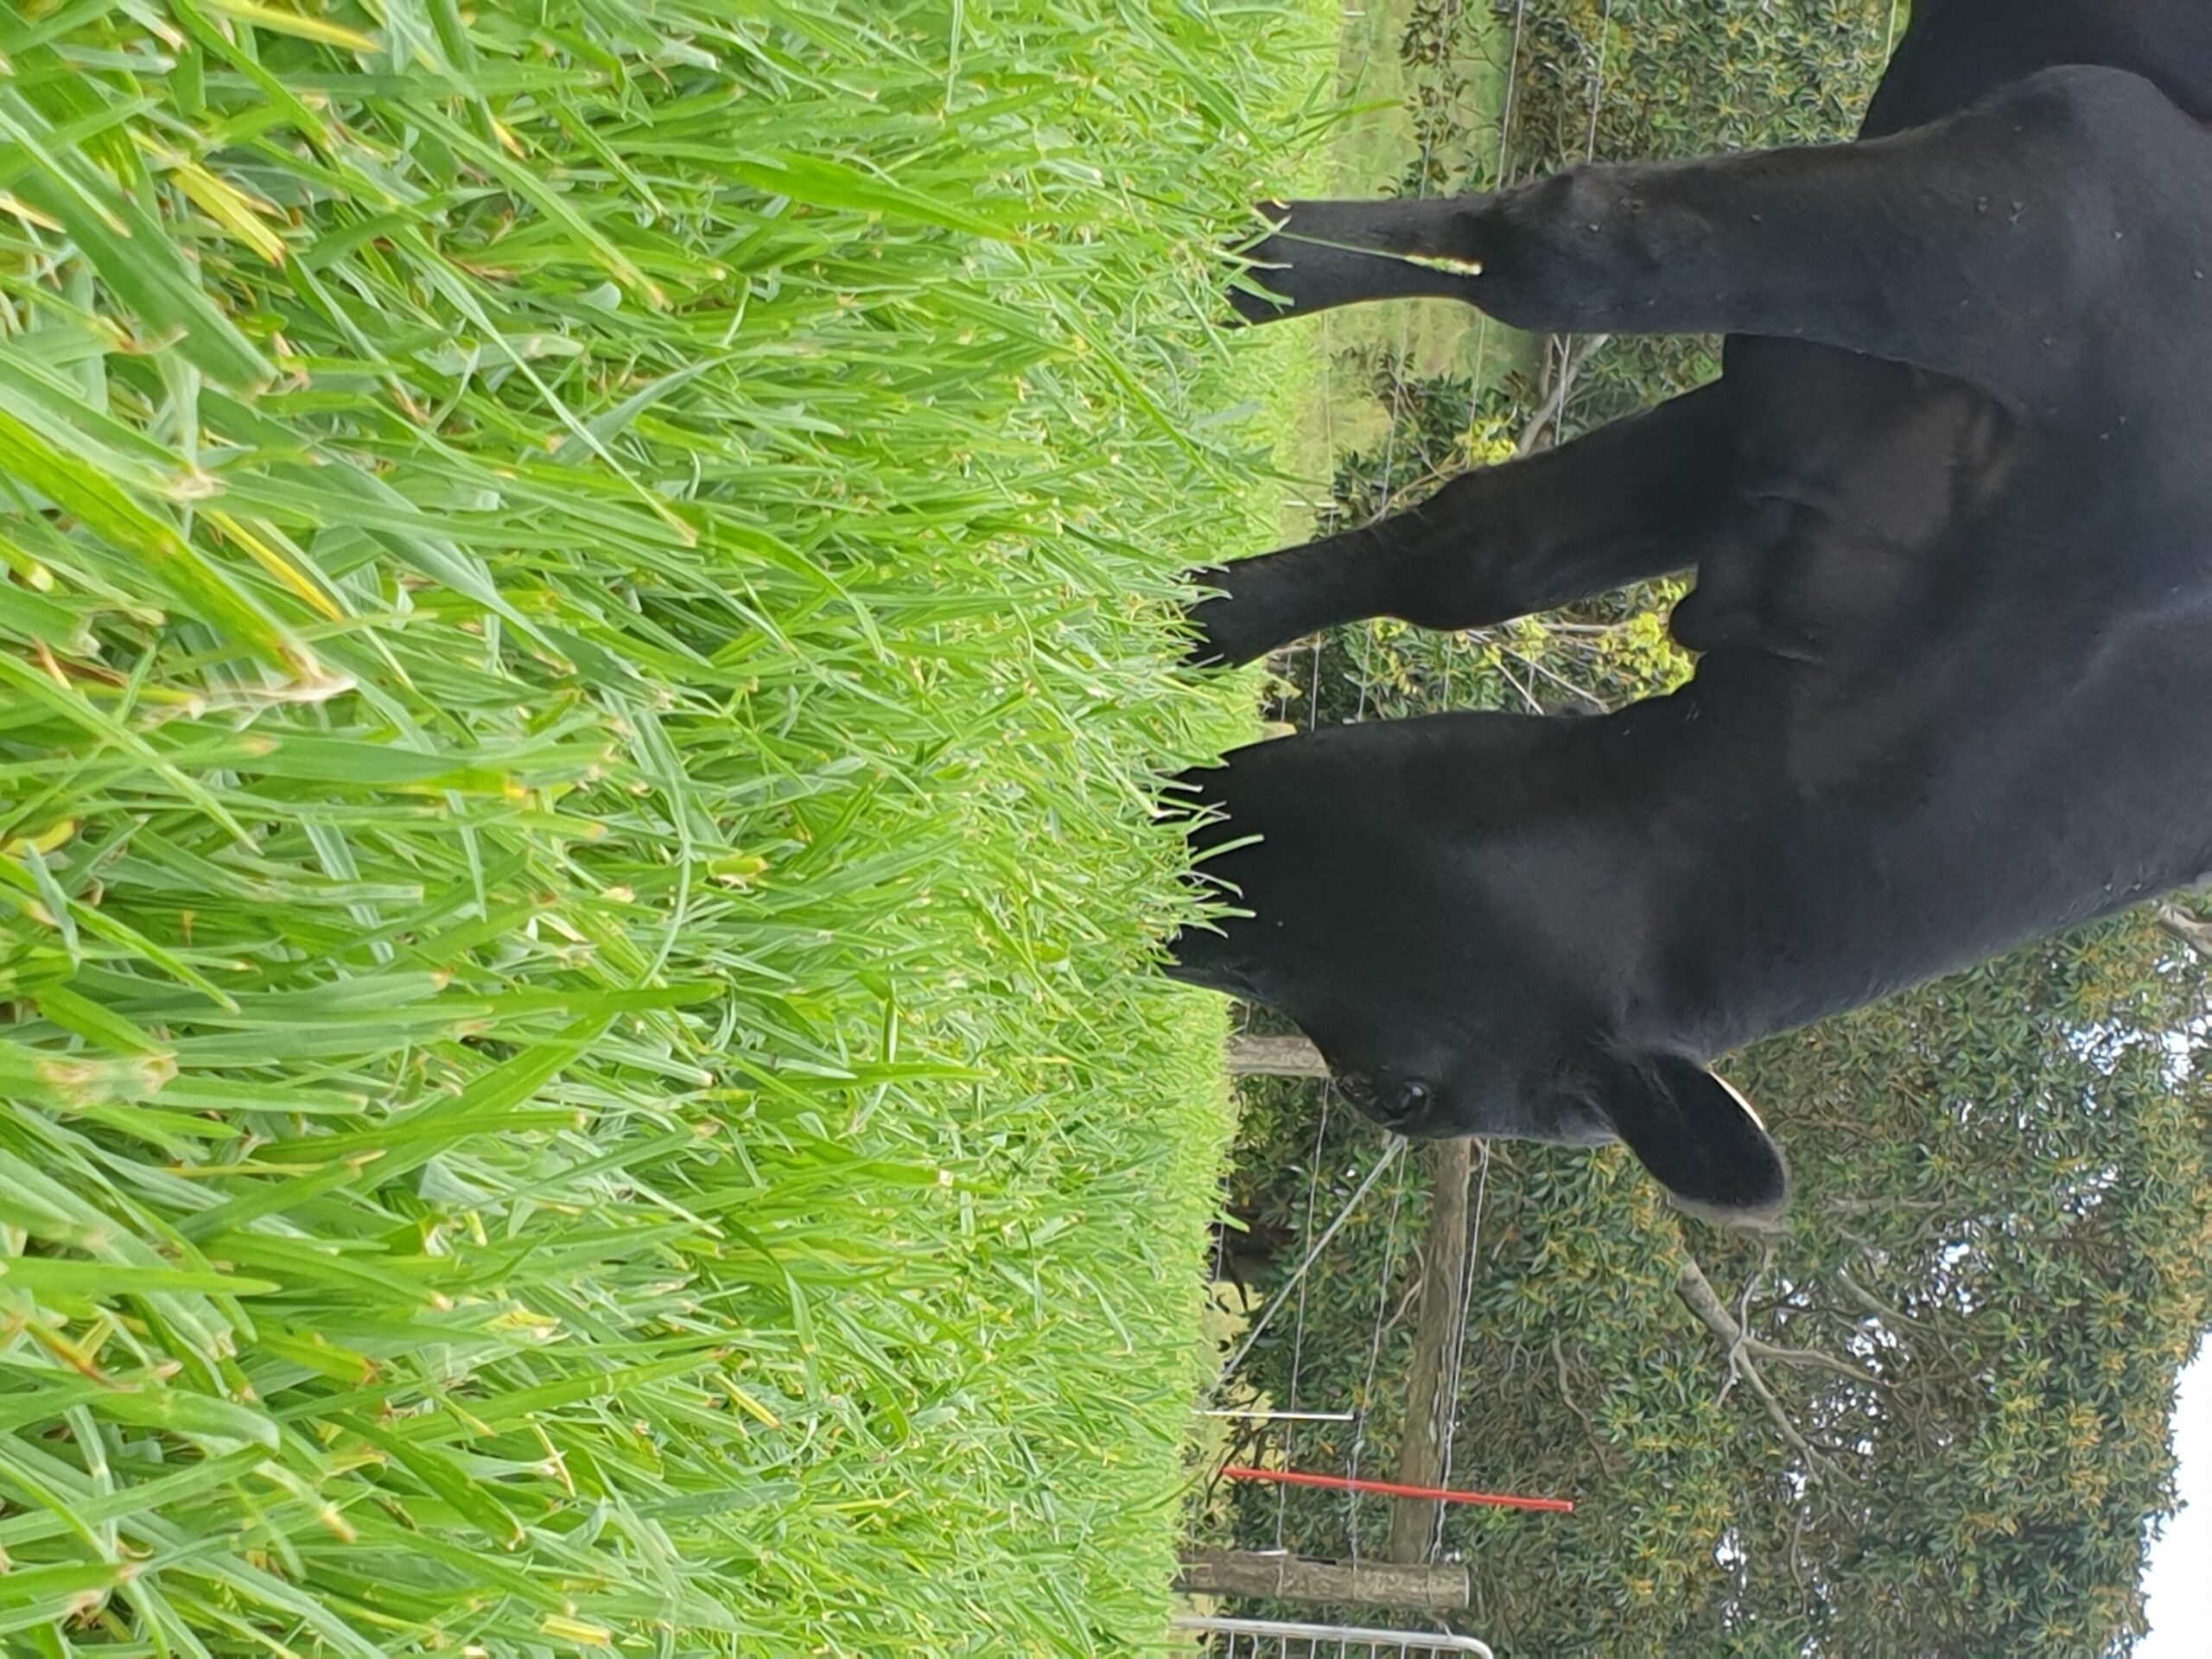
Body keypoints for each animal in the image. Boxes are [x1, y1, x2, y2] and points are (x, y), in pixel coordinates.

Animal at [1176, 6, 2212, 1230]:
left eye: (1395, 1096)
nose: (1160, 915)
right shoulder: (2073, 183)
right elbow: (1566, 260)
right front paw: (1235, 260)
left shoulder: (1788, 444)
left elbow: (1481, 558)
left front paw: (1191, 619)